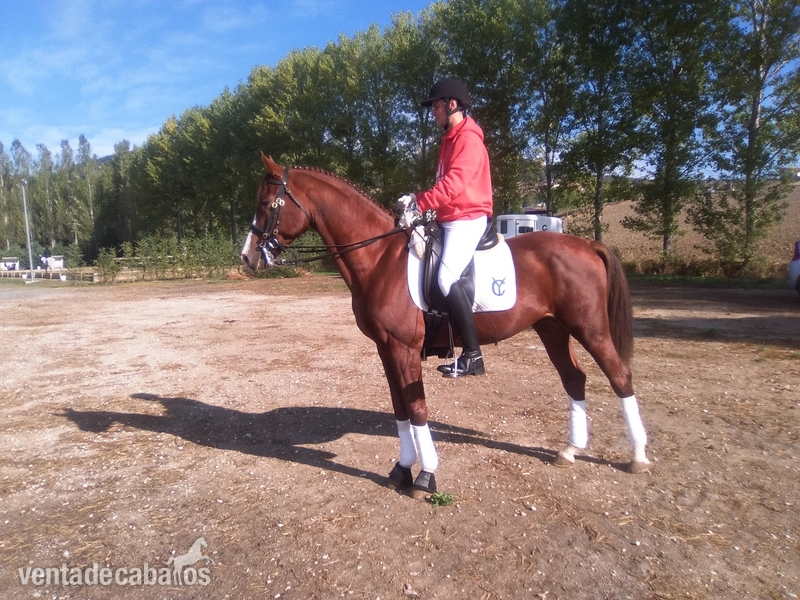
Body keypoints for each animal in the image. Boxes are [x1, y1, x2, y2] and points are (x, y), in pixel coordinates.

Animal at [241, 153, 650, 498]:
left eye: (266, 203)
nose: (247, 257)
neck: (379, 258)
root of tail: (586, 244)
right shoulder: (386, 349)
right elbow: (400, 408)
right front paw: (402, 469)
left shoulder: (404, 348)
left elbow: (417, 408)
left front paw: (426, 476)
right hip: (552, 329)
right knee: (574, 379)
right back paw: (569, 450)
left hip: (590, 329)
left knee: (620, 377)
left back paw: (638, 457)